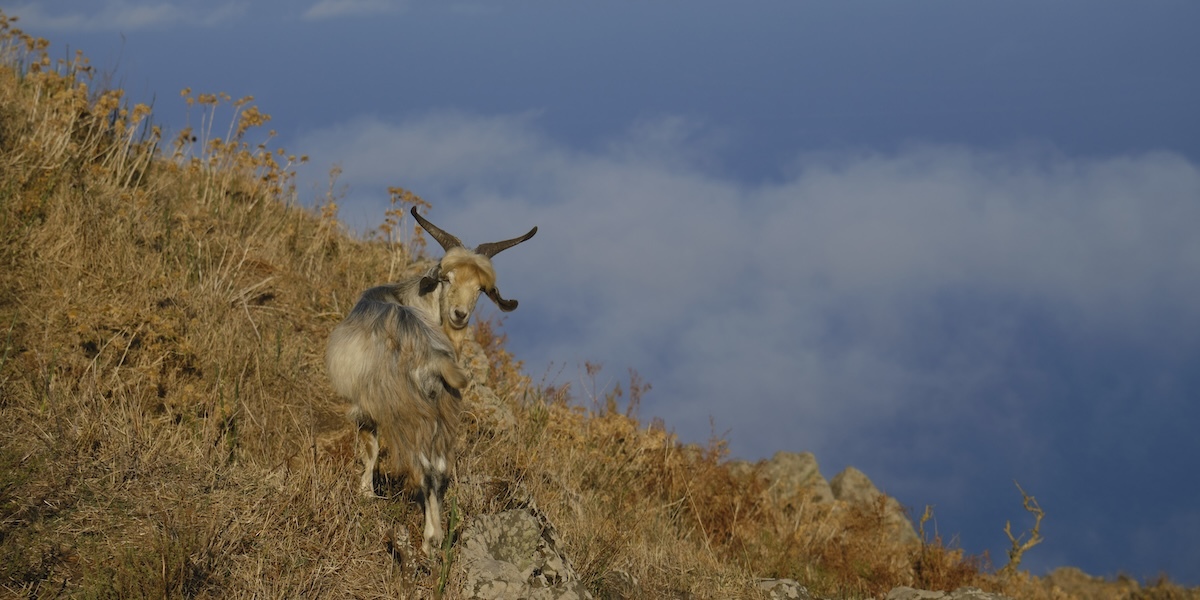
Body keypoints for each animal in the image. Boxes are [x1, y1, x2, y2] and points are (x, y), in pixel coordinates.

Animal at [326, 207, 537, 556]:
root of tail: (434, 359)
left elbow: (370, 448)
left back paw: (428, 539)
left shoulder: (366, 406)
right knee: (439, 468)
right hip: (442, 415)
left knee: (424, 466)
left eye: (480, 289)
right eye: (447, 279)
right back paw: (435, 541)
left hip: (408, 413)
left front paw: (365, 493)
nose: (459, 314)